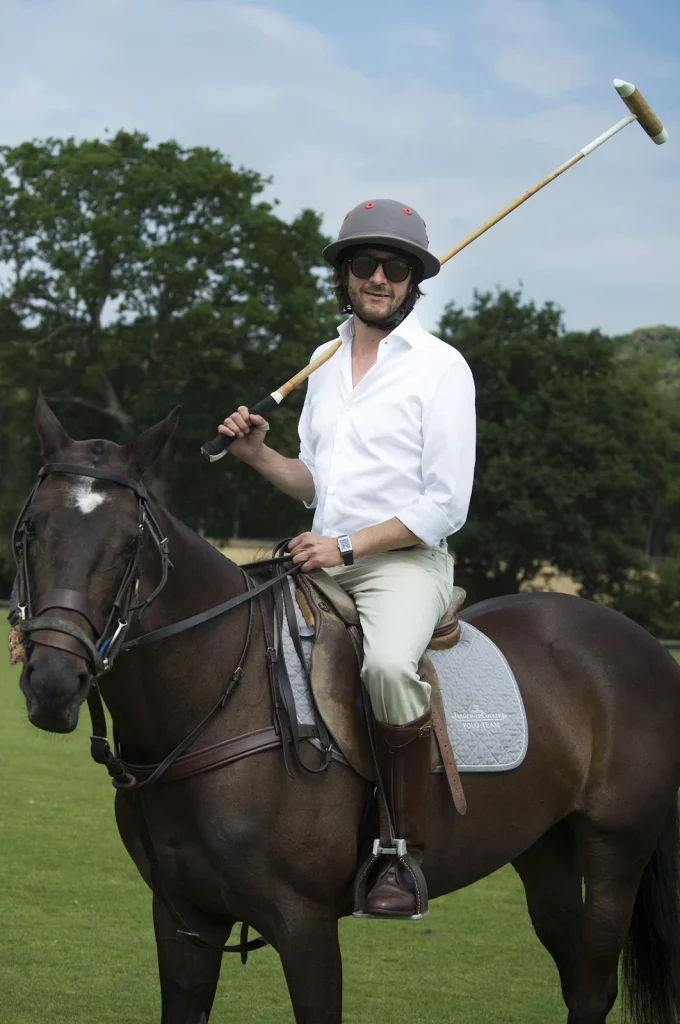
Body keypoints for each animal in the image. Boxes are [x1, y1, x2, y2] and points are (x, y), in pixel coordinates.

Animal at [11, 395, 680, 1019]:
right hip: (544, 848)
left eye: (131, 545)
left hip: (618, 848)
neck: (214, 704)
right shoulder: (183, 918)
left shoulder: (303, 923)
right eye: (30, 529)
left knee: (593, 984)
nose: (53, 682)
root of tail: (645, 641)